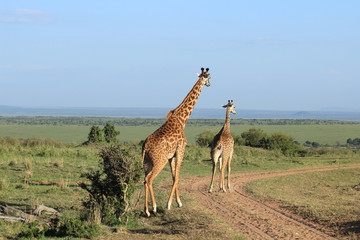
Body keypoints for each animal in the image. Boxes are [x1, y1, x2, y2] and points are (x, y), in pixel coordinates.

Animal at [142, 67, 211, 216]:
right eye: (209, 77)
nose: (209, 84)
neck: (182, 119)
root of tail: (145, 146)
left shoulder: (171, 156)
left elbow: (174, 177)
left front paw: (178, 202)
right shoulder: (181, 150)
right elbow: (178, 176)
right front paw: (169, 204)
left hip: (146, 162)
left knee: (144, 180)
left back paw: (146, 210)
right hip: (159, 161)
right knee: (149, 179)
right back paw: (154, 207)